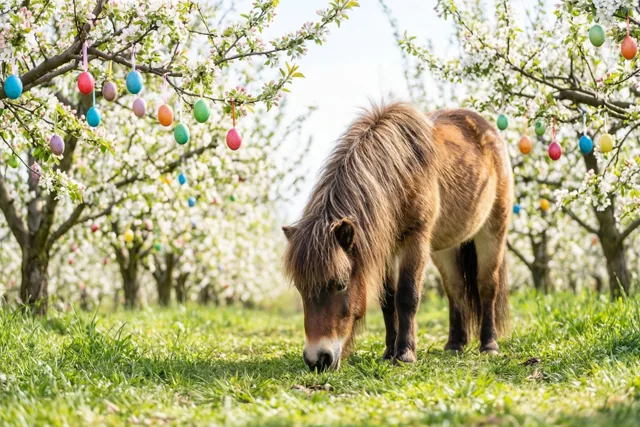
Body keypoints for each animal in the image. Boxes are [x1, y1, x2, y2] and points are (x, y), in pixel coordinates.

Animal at [282, 101, 512, 371]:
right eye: (301, 288)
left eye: (340, 284)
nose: (317, 359)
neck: (402, 172)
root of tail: (488, 130)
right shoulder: (387, 248)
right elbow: (388, 300)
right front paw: (389, 351)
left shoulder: (415, 240)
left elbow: (407, 296)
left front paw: (404, 353)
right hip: (446, 249)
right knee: (455, 290)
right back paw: (455, 344)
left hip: (492, 231)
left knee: (487, 287)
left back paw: (489, 344)